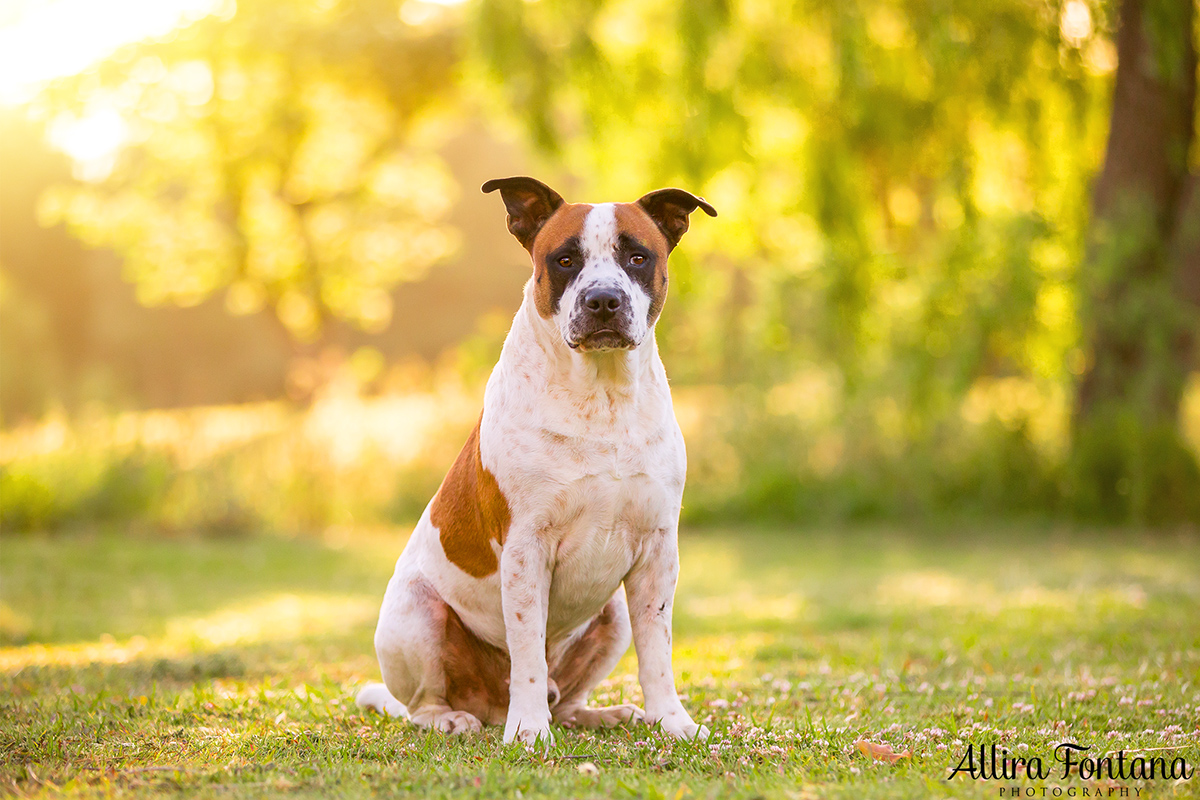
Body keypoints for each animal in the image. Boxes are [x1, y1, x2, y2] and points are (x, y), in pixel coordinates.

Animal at [352, 178, 710, 748]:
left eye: (637, 256)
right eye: (564, 259)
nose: (603, 300)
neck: (600, 397)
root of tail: (487, 706)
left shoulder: (657, 553)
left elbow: (658, 652)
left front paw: (672, 721)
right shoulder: (525, 549)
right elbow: (526, 649)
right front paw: (527, 730)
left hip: (613, 614)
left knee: (568, 698)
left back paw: (601, 715)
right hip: (416, 614)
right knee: (422, 704)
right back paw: (456, 718)